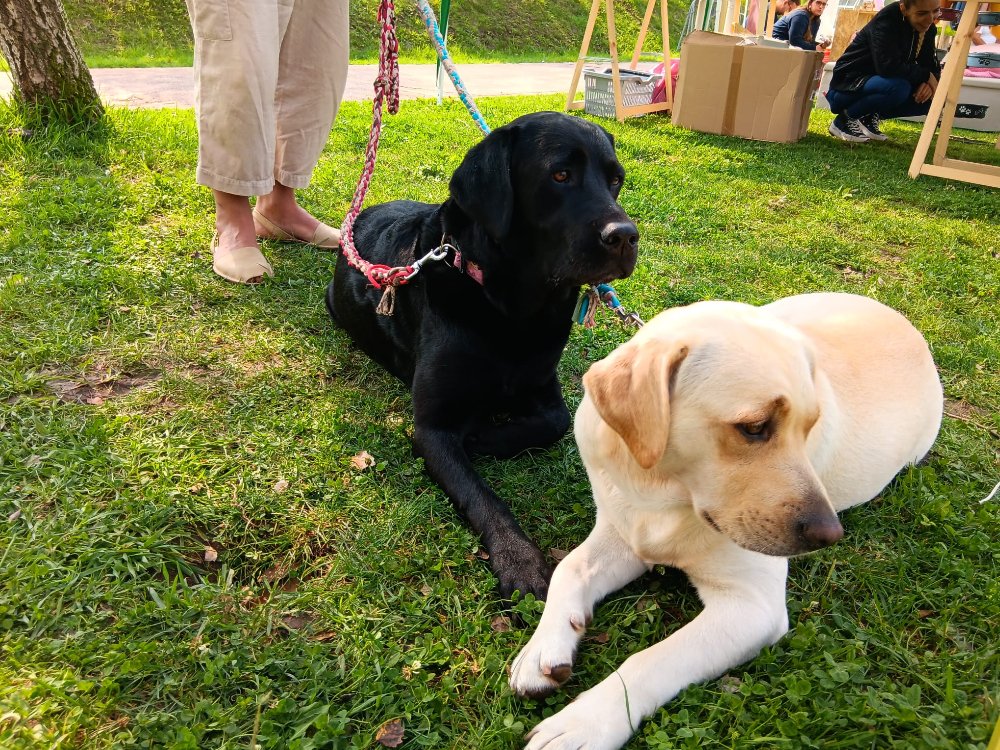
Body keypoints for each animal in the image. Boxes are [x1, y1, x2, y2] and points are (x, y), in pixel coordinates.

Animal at [328, 111, 640, 604]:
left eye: (615, 181)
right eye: (560, 175)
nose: (626, 236)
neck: (511, 310)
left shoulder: (543, 384)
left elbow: (555, 422)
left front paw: (484, 435)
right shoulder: (432, 428)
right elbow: (482, 495)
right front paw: (520, 560)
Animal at [512, 292, 940, 750]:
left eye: (811, 427)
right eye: (754, 427)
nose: (829, 535)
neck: (663, 488)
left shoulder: (753, 606)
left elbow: (652, 658)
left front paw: (585, 722)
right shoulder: (623, 530)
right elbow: (569, 568)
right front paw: (542, 648)